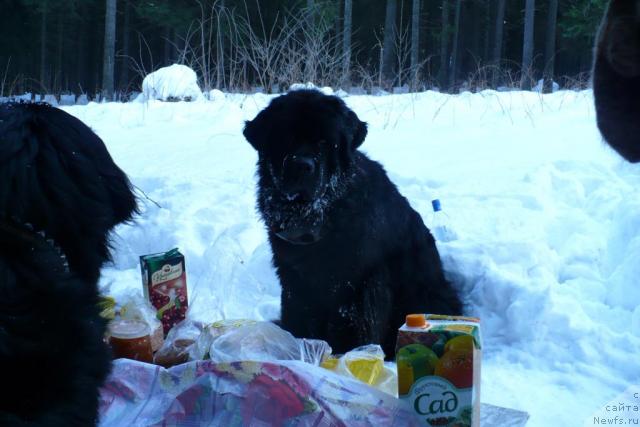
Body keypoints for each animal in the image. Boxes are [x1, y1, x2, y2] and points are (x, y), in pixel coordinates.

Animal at [244, 89, 460, 358]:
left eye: (324, 142)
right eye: (286, 137)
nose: (302, 165)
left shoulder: (360, 281)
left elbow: (357, 322)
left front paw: (354, 354)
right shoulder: (292, 275)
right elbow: (296, 314)